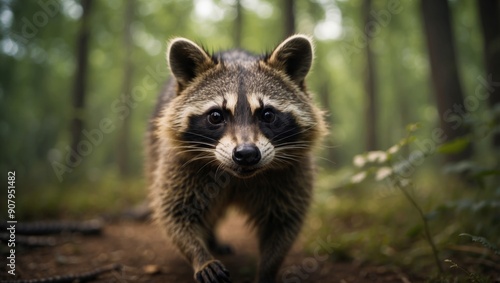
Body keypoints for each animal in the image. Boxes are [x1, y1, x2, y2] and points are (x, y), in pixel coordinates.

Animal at [147, 34, 328, 282]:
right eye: (216, 116)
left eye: (267, 114)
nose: (246, 154)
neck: (237, 177)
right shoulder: (180, 164)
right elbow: (175, 211)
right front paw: (200, 255)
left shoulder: (291, 173)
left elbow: (284, 222)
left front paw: (267, 270)